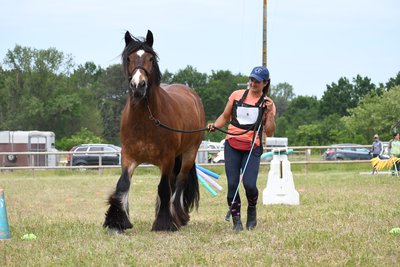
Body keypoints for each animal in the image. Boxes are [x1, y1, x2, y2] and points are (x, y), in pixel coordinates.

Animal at [103, 29, 205, 234]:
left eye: (150, 58)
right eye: (129, 58)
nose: (138, 85)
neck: (145, 120)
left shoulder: (166, 158)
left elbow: (164, 188)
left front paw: (164, 223)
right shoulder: (128, 156)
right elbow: (122, 184)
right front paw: (118, 221)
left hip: (189, 154)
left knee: (179, 182)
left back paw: (178, 216)